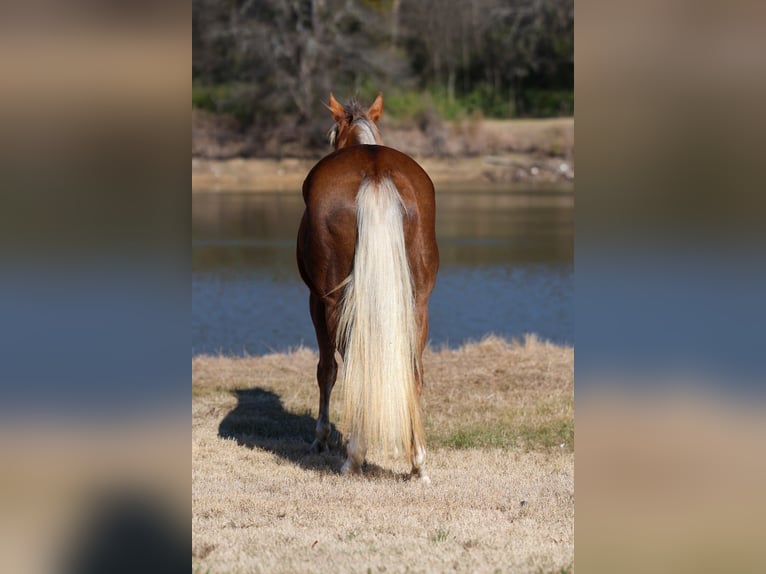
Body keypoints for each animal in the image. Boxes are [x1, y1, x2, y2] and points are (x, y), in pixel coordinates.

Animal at [296, 92, 439, 481]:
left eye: (331, 134)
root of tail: (375, 174)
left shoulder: (315, 301)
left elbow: (326, 370)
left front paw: (320, 438)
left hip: (334, 302)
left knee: (351, 366)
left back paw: (354, 457)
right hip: (417, 303)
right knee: (413, 370)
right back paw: (418, 463)